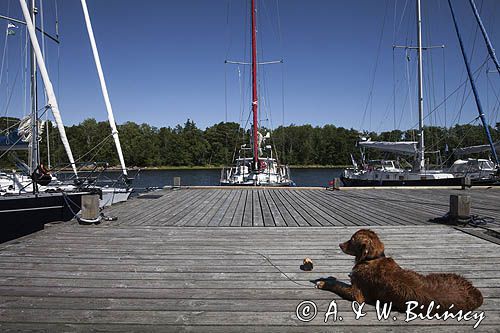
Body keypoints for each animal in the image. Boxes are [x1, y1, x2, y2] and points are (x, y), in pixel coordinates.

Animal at [316, 230, 484, 312]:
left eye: (351, 240)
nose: (339, 244)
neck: (372, 259)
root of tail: (476, 294)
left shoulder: (357, 294)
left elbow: (338, 285)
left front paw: (324, 282)